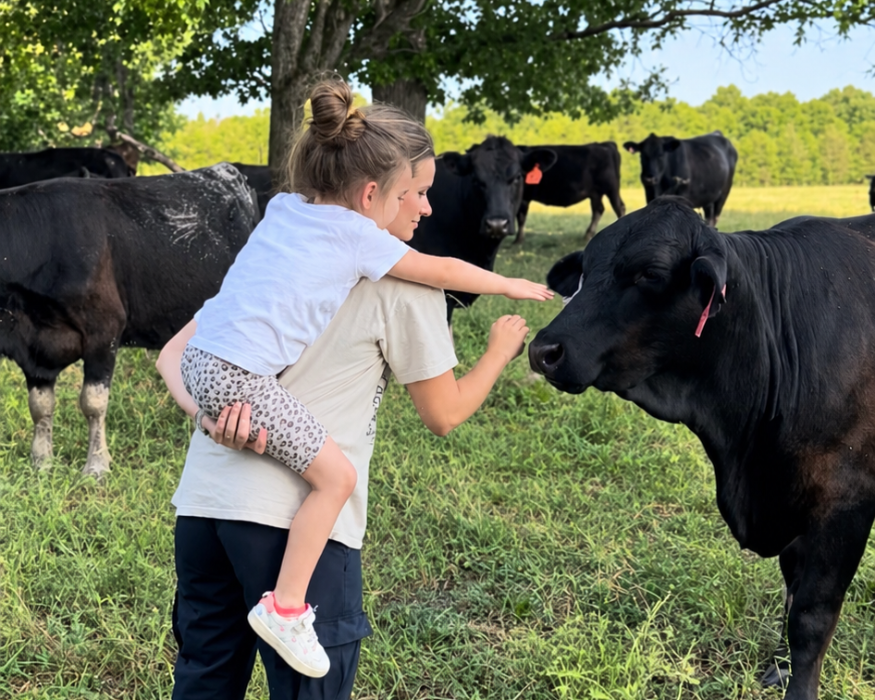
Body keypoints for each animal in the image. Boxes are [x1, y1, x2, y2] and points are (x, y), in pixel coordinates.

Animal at [0, 163, 258, 477]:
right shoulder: (35, 348)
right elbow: (40, 406)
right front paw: (41, 462)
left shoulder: (104, 329)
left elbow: (93, 402)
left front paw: (97, 465)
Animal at [528, 196, 875, 700]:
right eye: (585, 272)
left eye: (650, 273)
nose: (543, 350)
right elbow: (791, 592)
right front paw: (780, 668)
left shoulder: (844, 503)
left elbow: (811, 617)